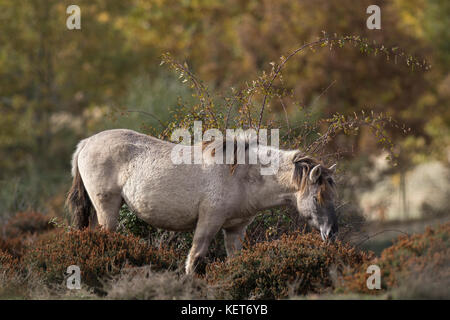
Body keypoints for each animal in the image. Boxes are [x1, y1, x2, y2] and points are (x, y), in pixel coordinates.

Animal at [67, 129, 338, 274]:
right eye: (317, 197)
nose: (331, 233)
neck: (242, 174)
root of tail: (86, 143)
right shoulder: (208, 223)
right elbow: (195, 259)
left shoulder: (235, 229)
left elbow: (235, 261)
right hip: (107, 210)